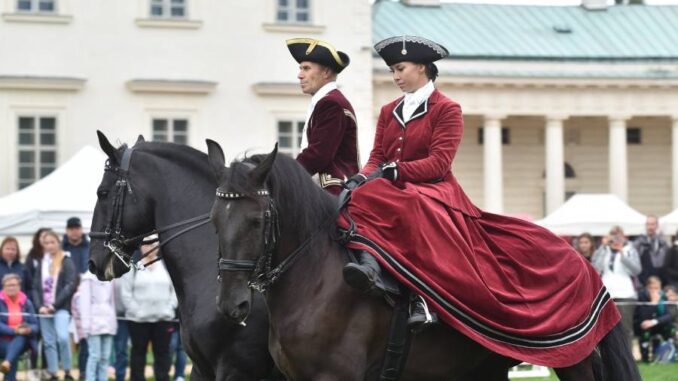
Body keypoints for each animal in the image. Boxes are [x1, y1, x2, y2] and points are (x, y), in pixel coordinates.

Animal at [207, 140, 644, 380]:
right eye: (213, 220)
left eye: (256, 220)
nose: (232, 306)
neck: (314, 279)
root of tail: (582, 259)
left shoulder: (336, 374)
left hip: (574, 362)